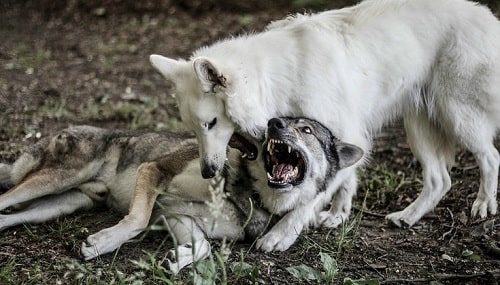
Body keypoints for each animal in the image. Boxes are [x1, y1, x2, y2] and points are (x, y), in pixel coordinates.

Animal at [150, 0, 500, 233]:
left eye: (211, 124)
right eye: (194, 130)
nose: (207, 172)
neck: (272, 80)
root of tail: (487, 17)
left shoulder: (347, 136)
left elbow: (317, 191)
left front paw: (284, 233)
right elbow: (345, 183)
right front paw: (338, 215)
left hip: (459, 116)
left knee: (490, 156)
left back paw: (484, 204)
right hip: (418, 127)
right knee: (440, 179)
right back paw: (409, 216)